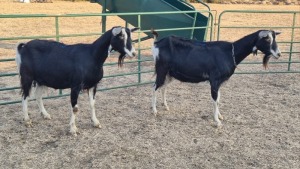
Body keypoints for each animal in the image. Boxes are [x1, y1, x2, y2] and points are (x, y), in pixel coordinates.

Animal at [152, 29, 282, 127]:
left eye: (274, 38)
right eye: (267, 39)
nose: (279, 54)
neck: (230, 52)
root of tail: (157, 44)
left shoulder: (220, 82)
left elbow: (218, 100)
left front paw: (220, 116)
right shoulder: (214, 81)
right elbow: (214, 100)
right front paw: (217, 122)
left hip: (170, 73)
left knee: (163, 87)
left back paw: (166, 106)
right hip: (161, 69)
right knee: (155, 87)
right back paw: (154, 110)